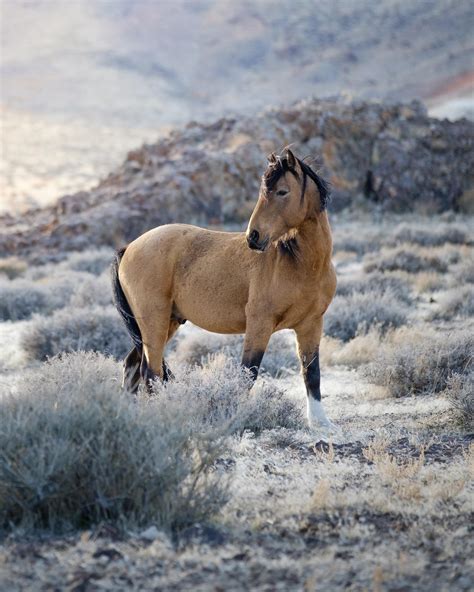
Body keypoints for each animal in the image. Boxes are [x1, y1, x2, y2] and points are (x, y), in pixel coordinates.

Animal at [112, 147, 336, 426]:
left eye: (283, 191)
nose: (253, 237)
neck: (300, 263)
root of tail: (129, 247)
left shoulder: (311, 324)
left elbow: (311, 372)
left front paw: (320, 423)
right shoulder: (259, 325)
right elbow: (248, 374)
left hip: (164, 324)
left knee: (133, 365)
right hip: (154, 322)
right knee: (150, 372)